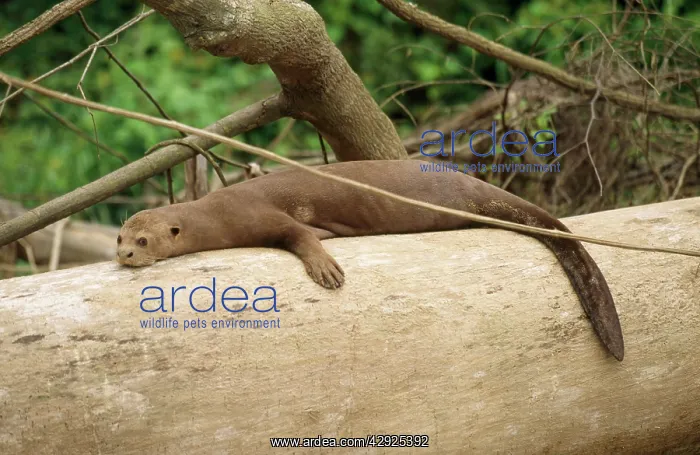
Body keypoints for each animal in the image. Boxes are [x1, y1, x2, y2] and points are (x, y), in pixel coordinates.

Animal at [117, 159, 624, 360]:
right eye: (120, 235)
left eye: (142, 240)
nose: (122, 254)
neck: (215, 213)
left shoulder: (259, 215)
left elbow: (301, 234)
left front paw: (325, 269)